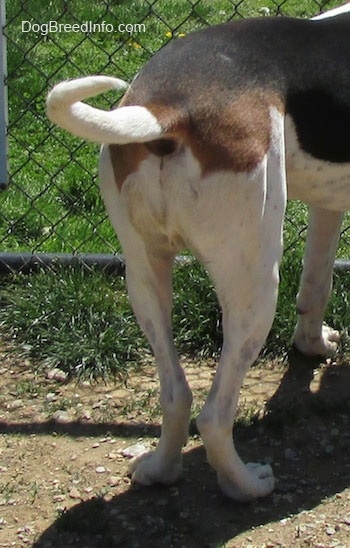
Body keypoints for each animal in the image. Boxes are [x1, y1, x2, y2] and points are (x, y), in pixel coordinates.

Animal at [46, 4, 350, 500]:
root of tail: (167, 108)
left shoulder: (328, 203)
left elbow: (316, 286)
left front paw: (314, 345)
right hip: (255, 286)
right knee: (213, 417)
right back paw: (245, 485)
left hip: (144, 276)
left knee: (175, 396)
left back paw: (160, 469)